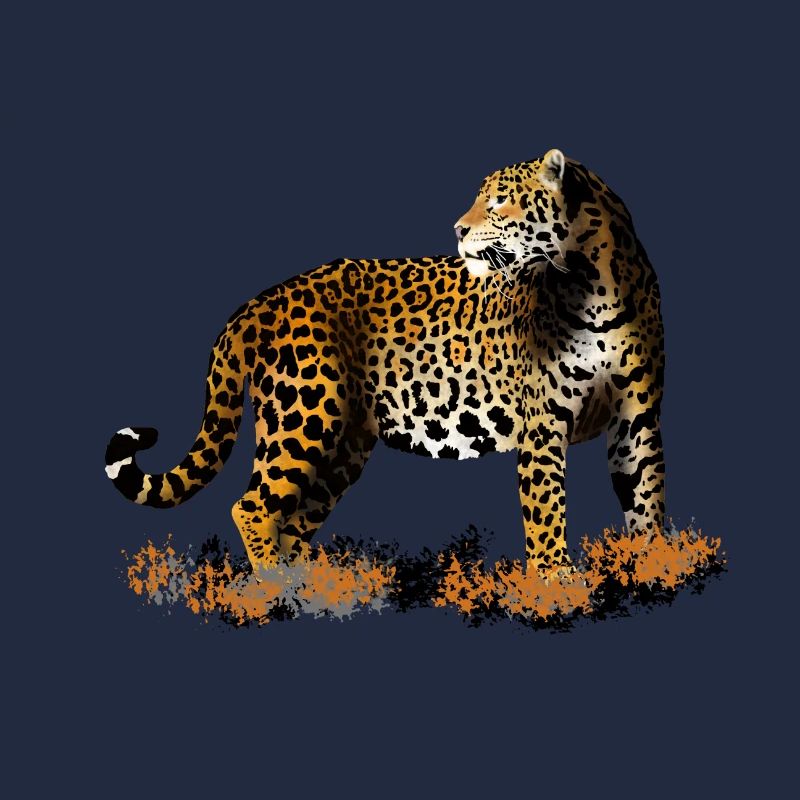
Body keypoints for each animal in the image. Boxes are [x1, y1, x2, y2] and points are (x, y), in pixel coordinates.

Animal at [106, 148, 665, 574]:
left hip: (344, 444)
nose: (457, 229)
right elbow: (546, 507)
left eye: (500, 200)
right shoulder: (543, 423)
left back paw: (305, 585)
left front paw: (655, 565)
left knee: (292, 522)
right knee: (253, 507)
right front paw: (555, 582)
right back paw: (273, 588)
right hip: (303, 415)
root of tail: (262, 301)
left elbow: (646, 497)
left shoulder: (637, 418)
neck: (594, 286)